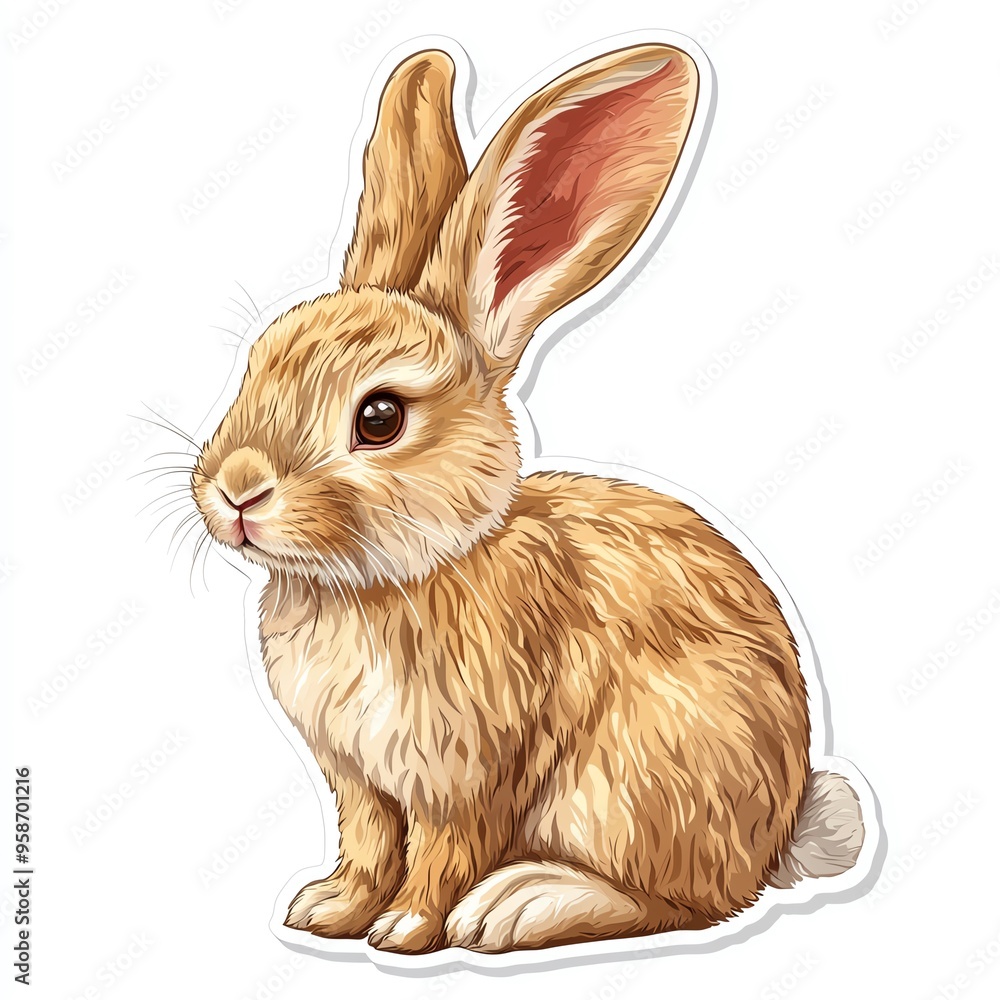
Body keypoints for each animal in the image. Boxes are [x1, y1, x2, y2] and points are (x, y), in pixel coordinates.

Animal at [190, 43, 864, 954]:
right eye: (257, 362)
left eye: (379, 417)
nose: (236, 490)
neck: (391, 578)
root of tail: (780, 833)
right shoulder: (360, 781)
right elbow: (367, 843)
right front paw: (329, 909)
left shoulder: (470, 771)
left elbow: (442, 852)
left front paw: (405, 929)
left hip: (634, 786)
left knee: (682, 902)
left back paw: (518, 904)